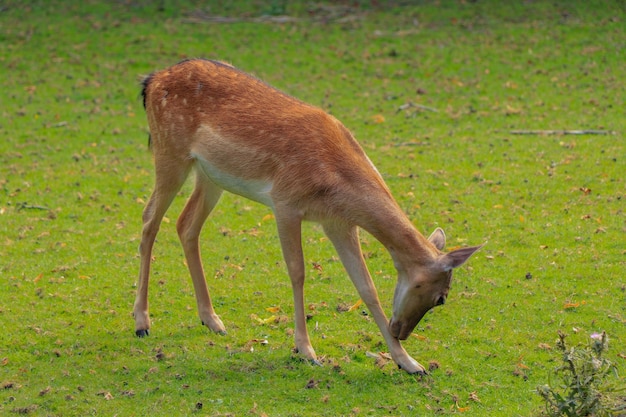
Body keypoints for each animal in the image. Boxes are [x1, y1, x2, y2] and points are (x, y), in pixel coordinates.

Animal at [134, 58, 480, 374]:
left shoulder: (338, 222)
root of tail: (151, 81)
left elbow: (366, 286)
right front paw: (306, 350)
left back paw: (212, 320)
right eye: (441, 298)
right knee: (149, 220)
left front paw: (409, 363)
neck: (336, 183)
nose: (402, 332)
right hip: (170, 152)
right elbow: (297, 271)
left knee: (185, 225)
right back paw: (142, 321)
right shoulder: (285, 202)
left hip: (211, 176)